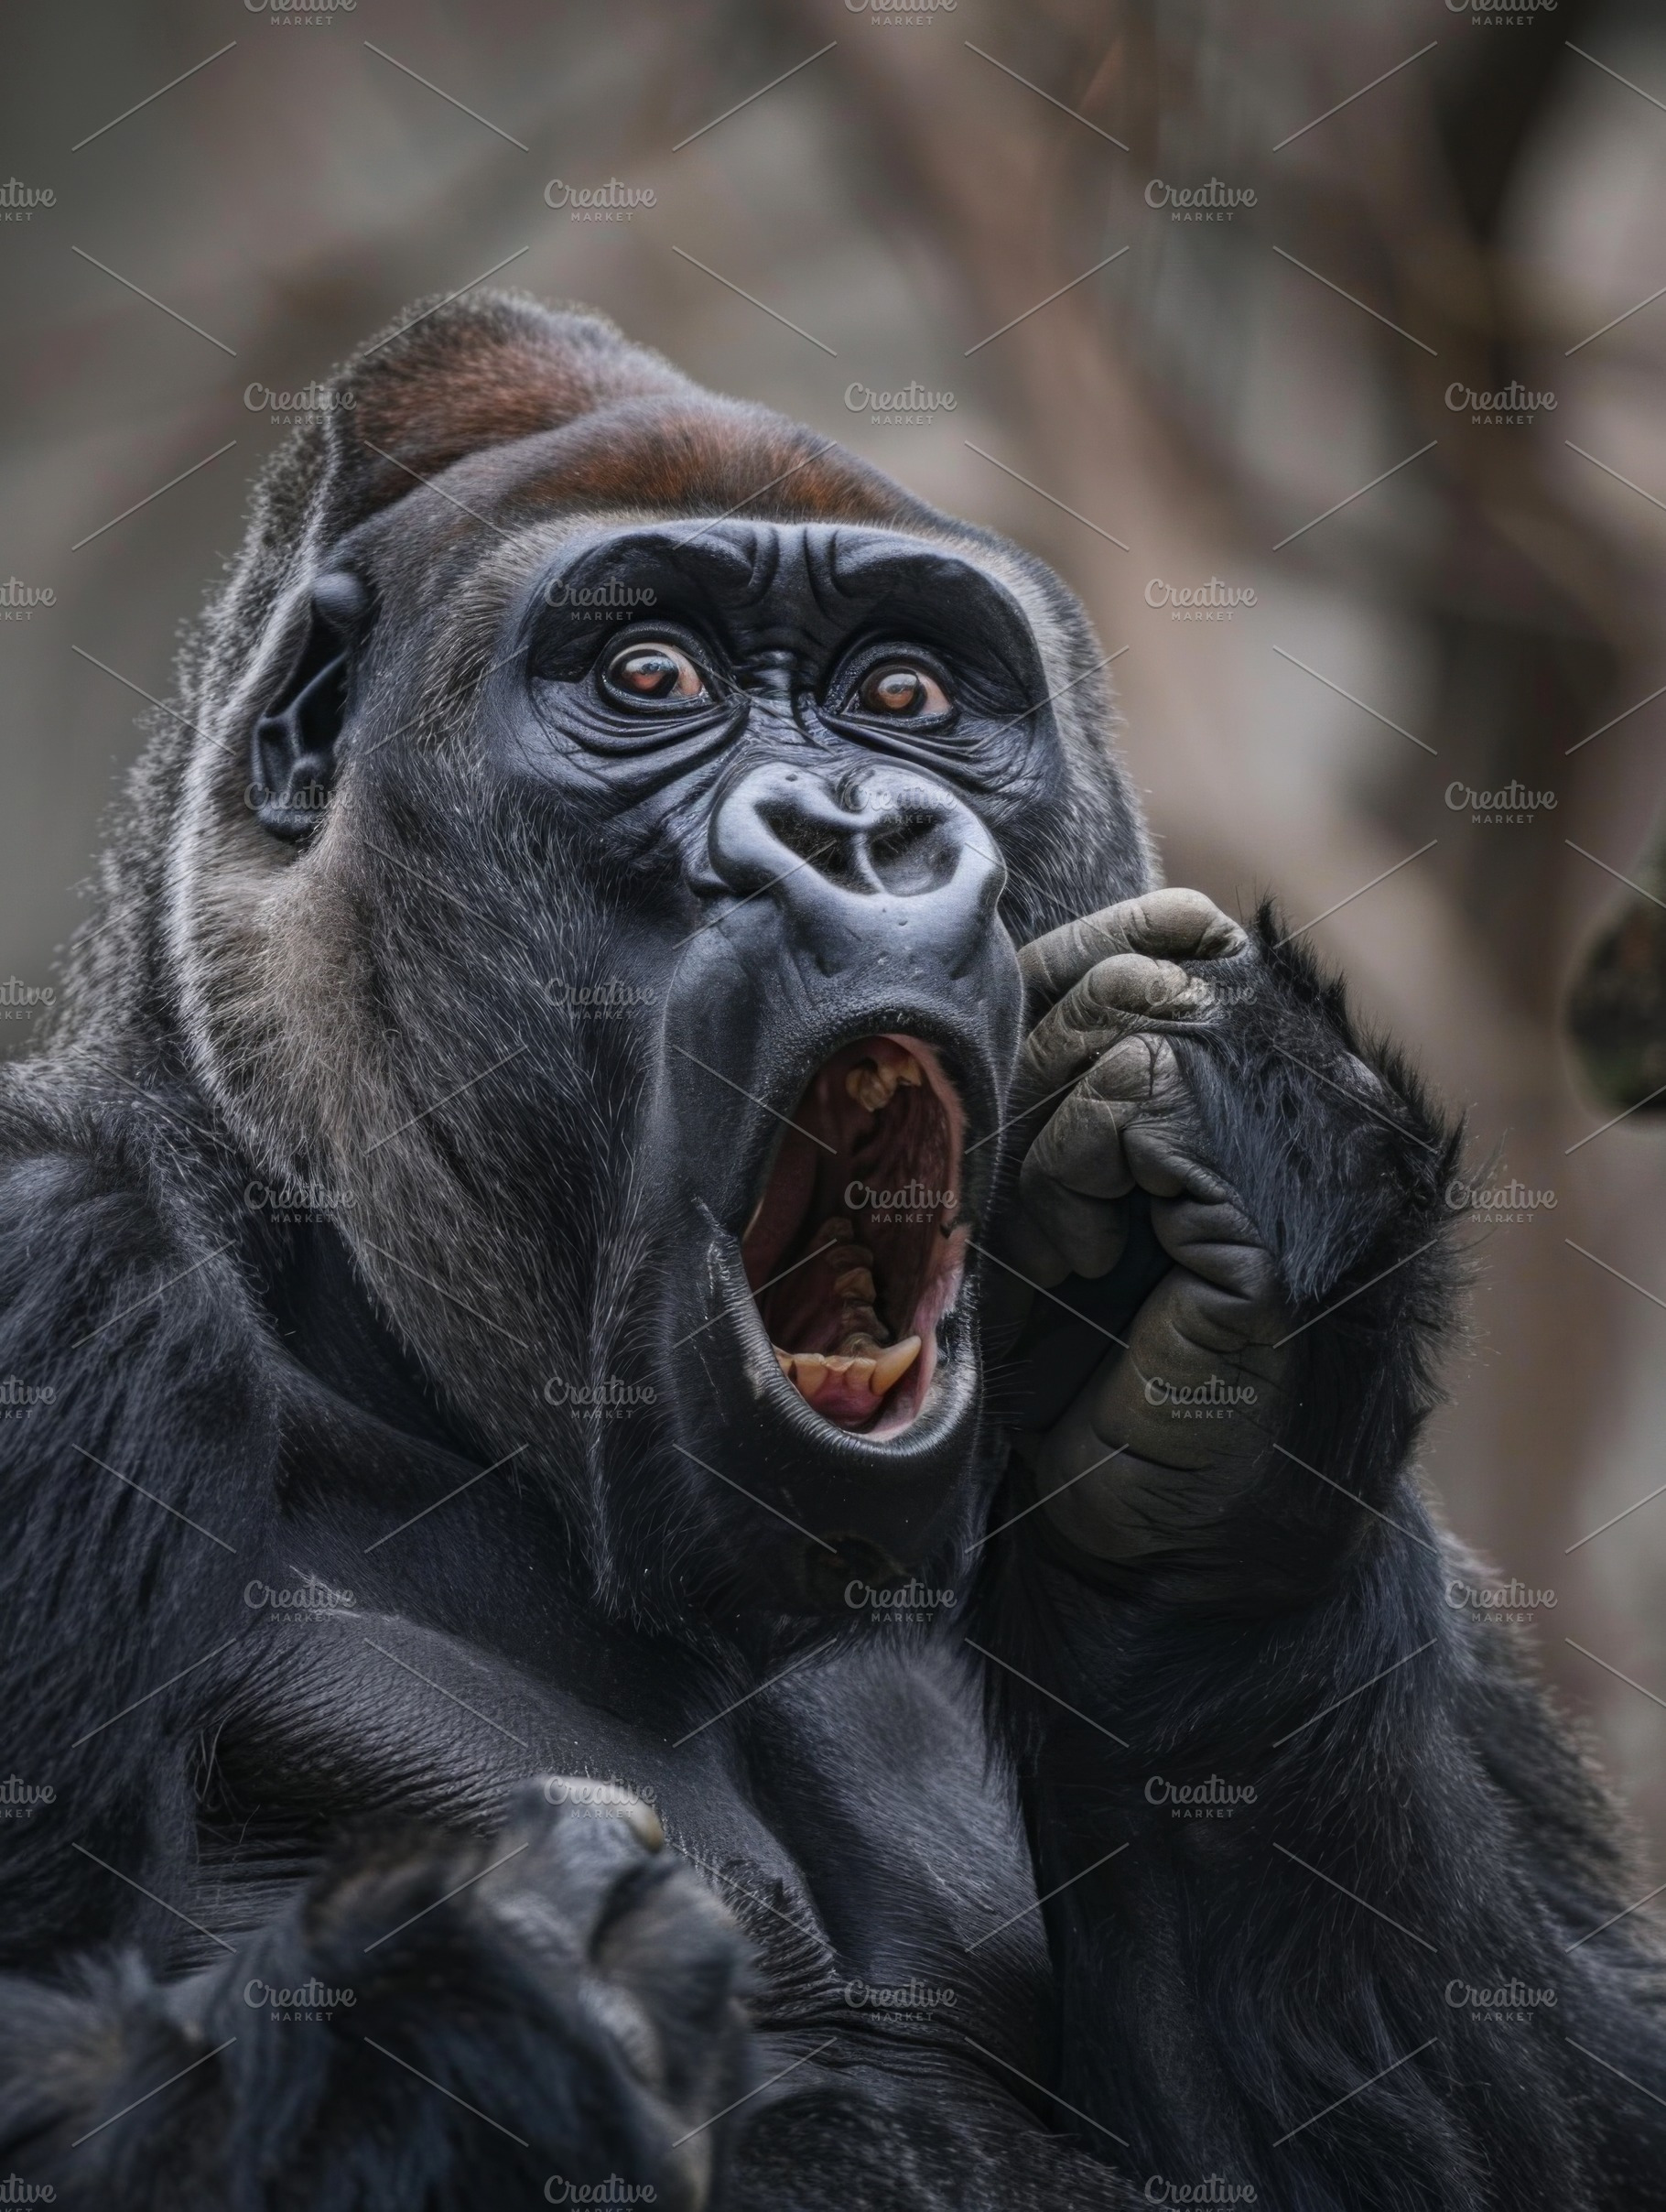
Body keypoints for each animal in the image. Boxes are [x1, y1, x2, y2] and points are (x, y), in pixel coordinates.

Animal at [0, 291, 1661, 2211]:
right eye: (652, 680)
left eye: (907, 697)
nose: (861, 828)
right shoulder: (56, 1257)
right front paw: (479, 2009)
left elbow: (1564, 2114)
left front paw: (1241, 1390)